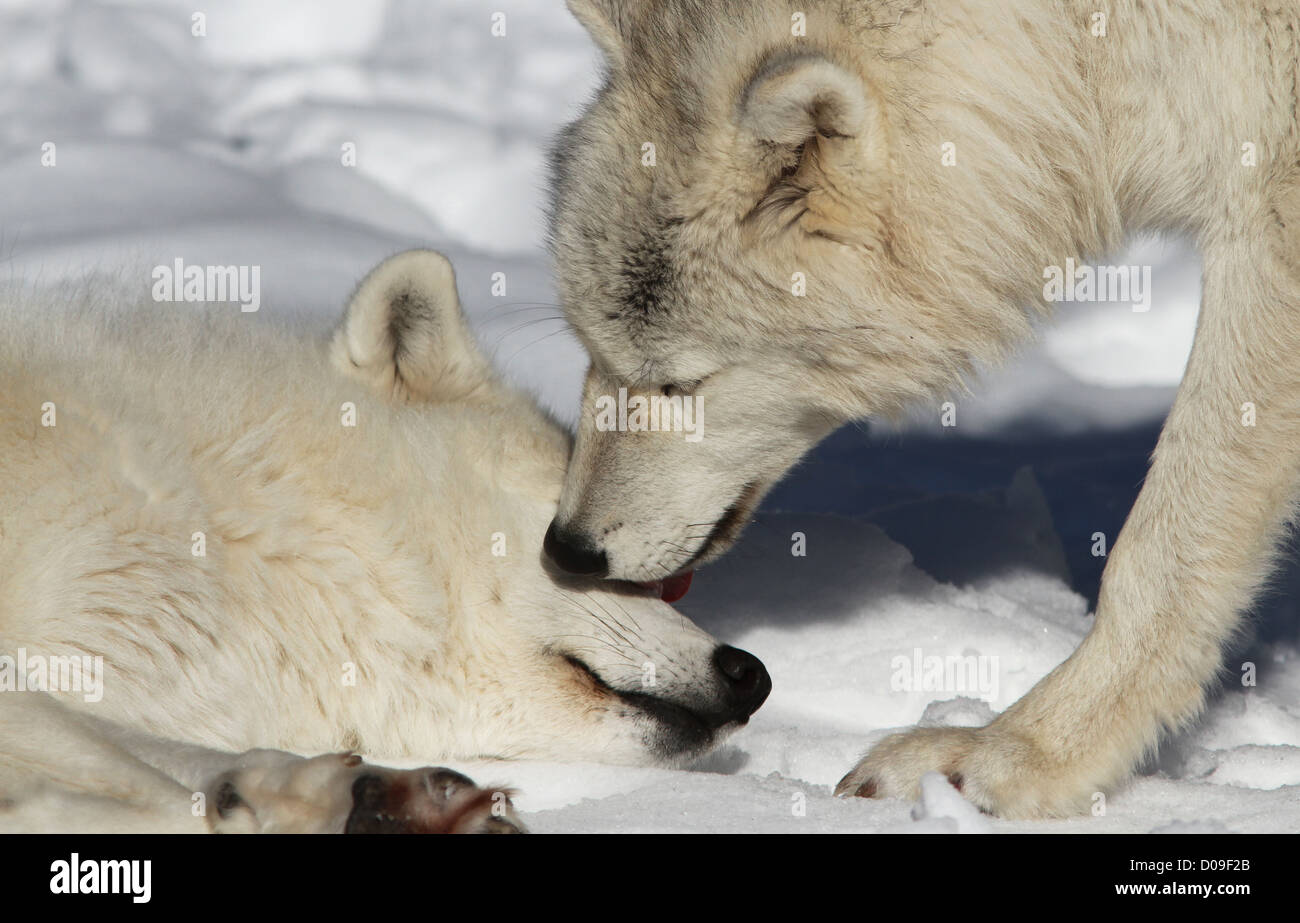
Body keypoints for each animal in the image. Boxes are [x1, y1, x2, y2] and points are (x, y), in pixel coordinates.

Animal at [543, 1, 1300, 826]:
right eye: (591, 349)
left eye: (679, 383)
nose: (565, 550)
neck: (1090, 41)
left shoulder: (1270, 217)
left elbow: (1155, 556)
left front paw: (1016, 756)